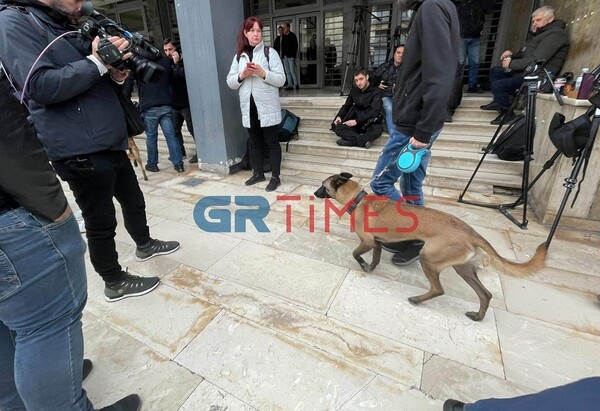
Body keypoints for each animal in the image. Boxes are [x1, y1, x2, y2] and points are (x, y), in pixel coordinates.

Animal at [314, 172, 548, 324]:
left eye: (322, 186)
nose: (315, 193)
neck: (358, 199)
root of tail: (471, 232)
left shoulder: (368, 242)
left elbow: (356, 254)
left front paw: (362, 264)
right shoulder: (377, 243)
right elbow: (376, 258)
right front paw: (370, 267)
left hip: (429, 258)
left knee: (438, 289)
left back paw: (417, 300)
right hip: (463, 268)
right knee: (485, 294)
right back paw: (478, 316)